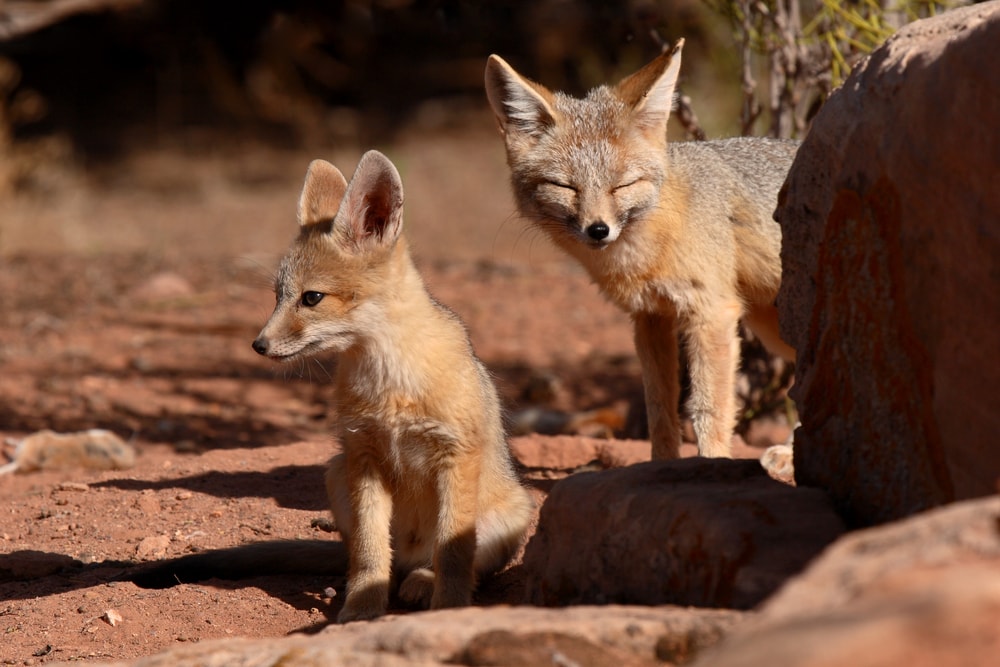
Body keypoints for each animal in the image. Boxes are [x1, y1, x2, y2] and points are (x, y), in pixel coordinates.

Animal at [251, 150, 535, 623]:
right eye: (276, 296)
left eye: (311, 298)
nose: (258, 345)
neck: (391, 385)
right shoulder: (364, 455)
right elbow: (369, 554)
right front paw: (361, 611)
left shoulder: (454, 455)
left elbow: (454, 555)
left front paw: (448, 610)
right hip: (336, 473)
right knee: (379, 560)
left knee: (443, 563)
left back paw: (423, 582)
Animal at [484, 40, 798, 461]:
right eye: (565, 187)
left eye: (622, 185)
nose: (598, 230)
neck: (646, 250)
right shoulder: (650, 317)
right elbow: (659, 408)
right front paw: (662, 466)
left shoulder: (711, 313)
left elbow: (708, 410)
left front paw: (714, 464)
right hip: (773, 326)